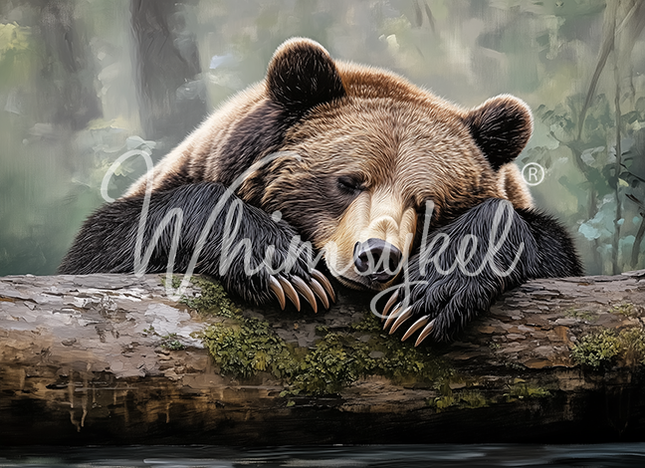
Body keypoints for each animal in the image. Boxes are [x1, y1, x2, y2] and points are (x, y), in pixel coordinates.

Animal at [59, 38, 582, 343]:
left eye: (429, 205)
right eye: (348, 182)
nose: (378, 254)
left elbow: (543, 245)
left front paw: (426, 295)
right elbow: (104, 248)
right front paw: (285, 268)